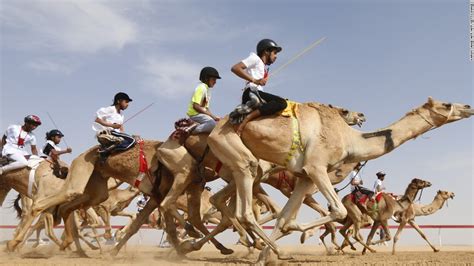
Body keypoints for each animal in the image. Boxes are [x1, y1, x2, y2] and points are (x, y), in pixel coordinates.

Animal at [206, 97, 474, 262]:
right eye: (446, 104)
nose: (468, 106)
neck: (351, 140)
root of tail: (214, 128)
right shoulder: (317, 167)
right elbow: (337, 211)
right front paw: (300, 235)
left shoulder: (305, 176)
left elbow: (284, 218)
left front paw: (266, 256)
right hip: (238, 155)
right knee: (243, 209)